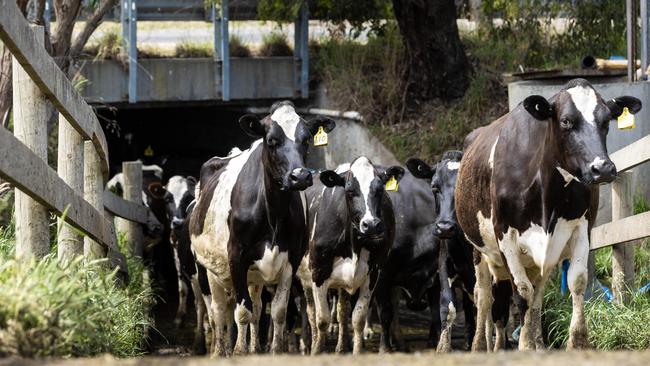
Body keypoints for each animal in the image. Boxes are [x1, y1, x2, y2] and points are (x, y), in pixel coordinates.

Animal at [189, 101, 334, 356]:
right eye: (271, 140)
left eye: (306, 139)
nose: (299, 176)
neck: (274, 213)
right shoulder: (236, 256)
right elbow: (242, 312)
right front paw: (238, 352)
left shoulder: (291, 259)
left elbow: (277, 311)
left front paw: (274, 350)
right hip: (207, 268)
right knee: (218, 310)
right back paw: (220, 350)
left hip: (253, 275)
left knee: (256, 308)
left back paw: (254, 347)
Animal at [296, 155, 402, 354]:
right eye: (350, 191)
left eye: (380, 190)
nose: (371, 225)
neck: (354, 245)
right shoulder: (318, 272)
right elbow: (322, 320)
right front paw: (317, 351)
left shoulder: (373, 273)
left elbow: (358, 318)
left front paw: (357, 352)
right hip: (305, 276)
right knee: (311, 313)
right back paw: (311, 344)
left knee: (342, 310)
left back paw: (340, 347)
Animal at [454, 78, 640, 352]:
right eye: (565, 121)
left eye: (607, 121)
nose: (603, 168)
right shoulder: (504, 235)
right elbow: (522, 292)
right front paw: (524, 345)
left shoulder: (582, 227)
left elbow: (576, 281)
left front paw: (576, 342)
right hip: (478, 249)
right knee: (485, 295)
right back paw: (480, 346)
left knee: (538, 294)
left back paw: (538, 343)